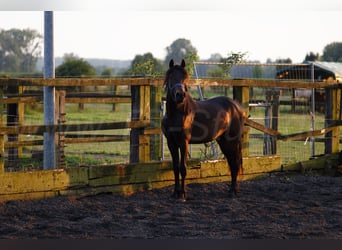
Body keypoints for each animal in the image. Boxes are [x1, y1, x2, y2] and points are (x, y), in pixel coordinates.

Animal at [162, 59, 244, 200]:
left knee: (235, 163)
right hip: (224, 142)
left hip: (233, 141)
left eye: (185, 78)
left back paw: (233, 192)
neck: (177, 114)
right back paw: (232, 191)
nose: (180, 95)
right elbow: (175, 168)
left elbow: (183, 168)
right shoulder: (171, 143)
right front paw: (175, 193)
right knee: (232, 163)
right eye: (171, 77)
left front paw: (183, 195)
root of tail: (236, 106)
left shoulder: (184, 142)